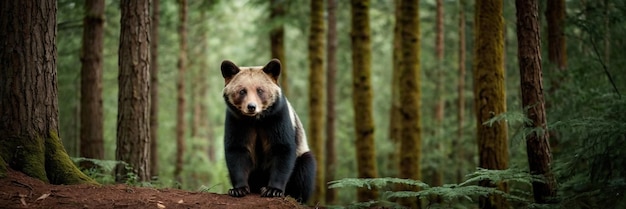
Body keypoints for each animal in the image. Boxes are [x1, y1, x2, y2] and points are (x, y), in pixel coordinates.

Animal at [221, 58, 316, 202]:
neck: (255, 120)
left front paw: (273, 190)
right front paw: (238, 189)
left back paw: (296, 196)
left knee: (305, 166)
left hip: (301, 151)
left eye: (260, 90)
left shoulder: (277, 117)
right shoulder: (237, 120)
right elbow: (237, 150)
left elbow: (282, 148)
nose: (251, 107)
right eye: (242, 91)